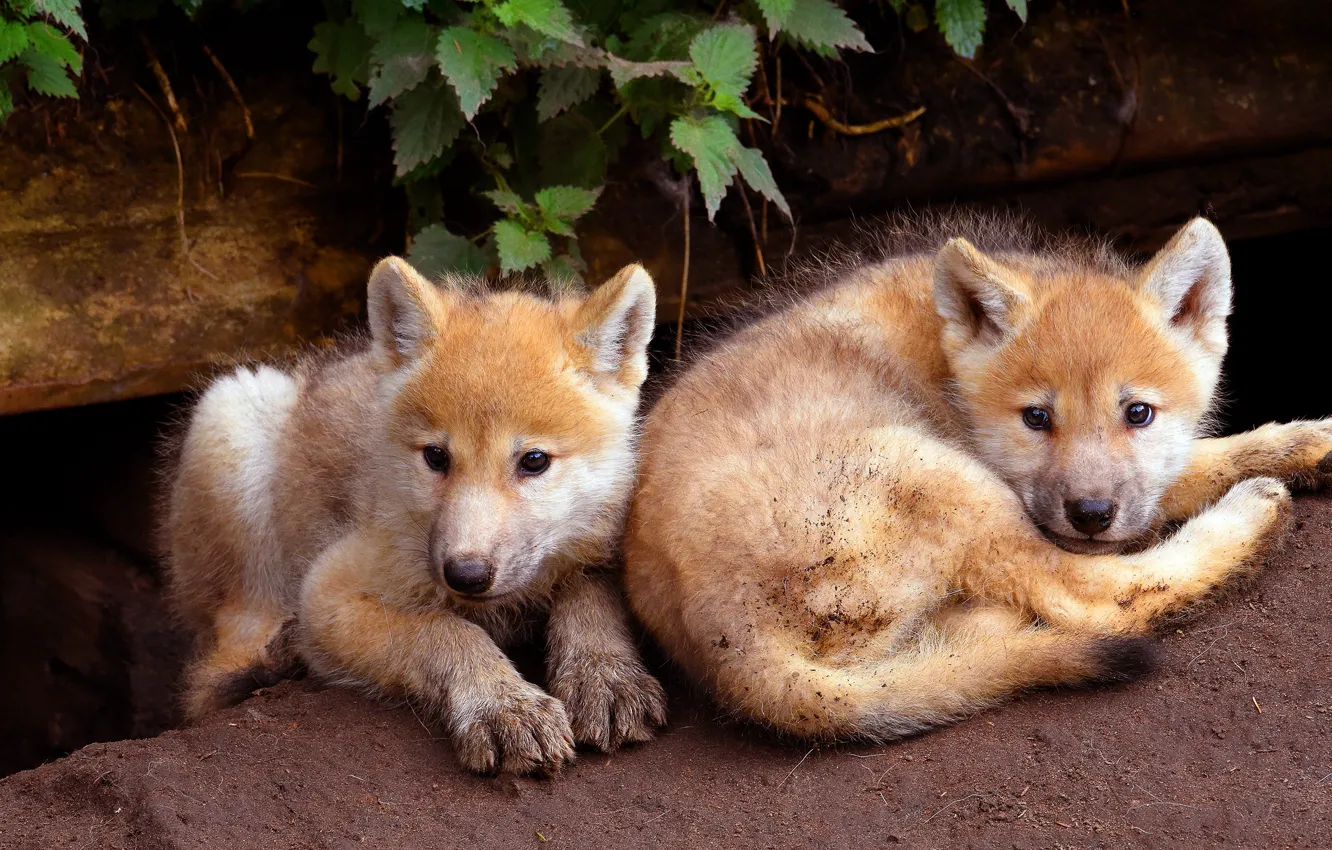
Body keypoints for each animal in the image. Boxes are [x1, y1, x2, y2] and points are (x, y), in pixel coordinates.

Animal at [164, 257, 667, 773]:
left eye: (534, 460)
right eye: (436, 457)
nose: (465, 574)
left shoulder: (600, 548)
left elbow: (589, 596)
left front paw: (602, 673)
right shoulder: (326, 595)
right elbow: (446, 632)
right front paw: (501, 703)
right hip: (237, 417)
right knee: (218, 662)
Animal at [623, 214, 1332, 742]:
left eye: (1138, 413)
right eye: (1037, 417)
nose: (1091, 515)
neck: (946, 366)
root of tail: (730, 649)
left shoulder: (1139, 485)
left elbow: (1199, 461)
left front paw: (1307, 443)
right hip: (937, 472)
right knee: (1093, 600)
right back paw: (1252, 519)